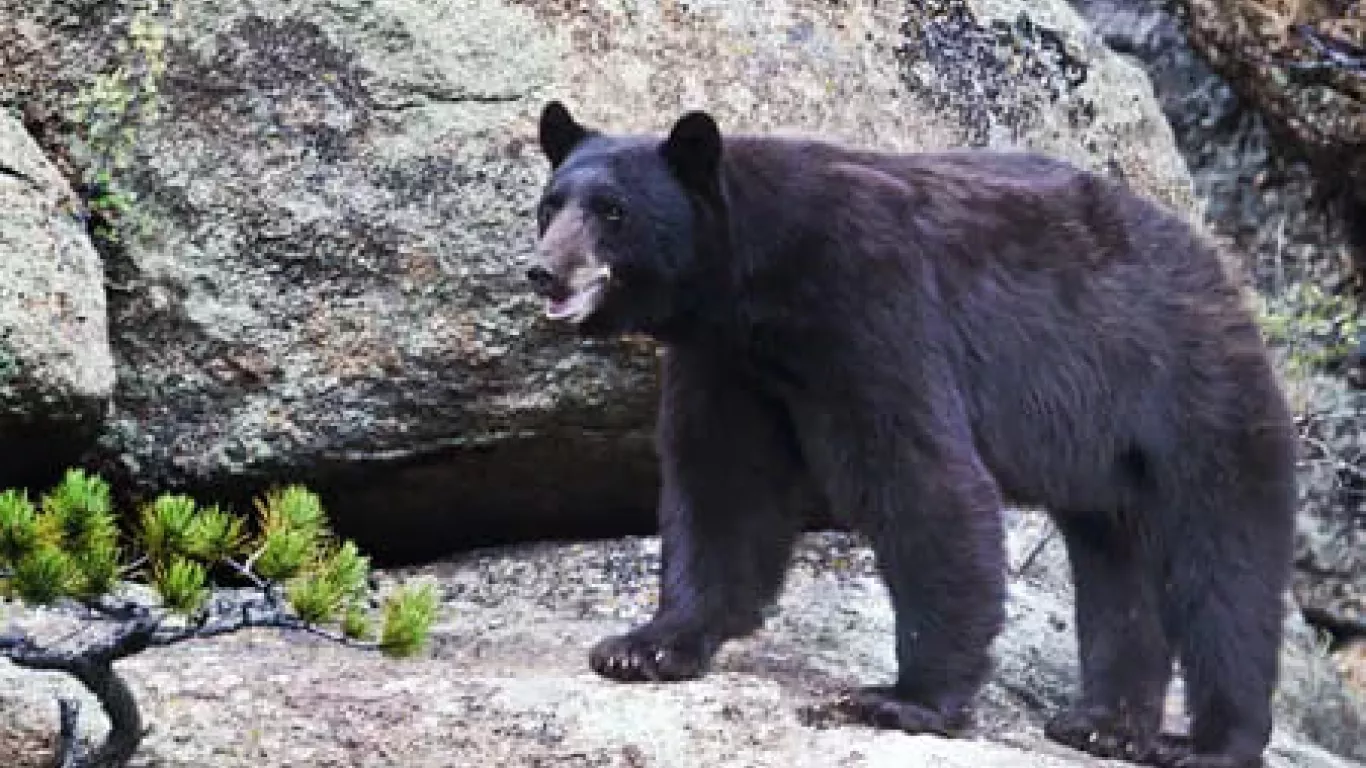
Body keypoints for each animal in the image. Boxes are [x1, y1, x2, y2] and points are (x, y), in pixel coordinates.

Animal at [523, 100, 1299, 768]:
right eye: (551, 204)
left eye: (612, 211)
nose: (543, 271)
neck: (753, 276)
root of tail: (1222, 271)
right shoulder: (725, 360)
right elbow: (722, 485)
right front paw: (645, 646)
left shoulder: (869, 300)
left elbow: (922, 475)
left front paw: (905, 700)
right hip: (1106, 460)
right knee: (1117, 563)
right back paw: (1104, 724)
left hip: (1192, 398)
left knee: (1225, 567)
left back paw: (1210, 741)